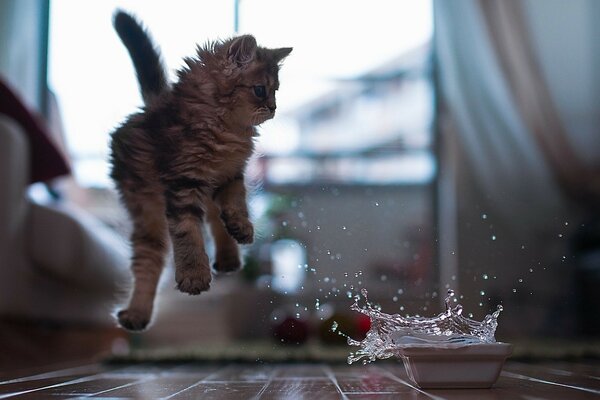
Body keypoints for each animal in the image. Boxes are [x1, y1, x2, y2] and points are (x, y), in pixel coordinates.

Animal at [111, 10, 292, 330]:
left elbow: (236, 204)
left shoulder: (231, 175)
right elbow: (189, 234)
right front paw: (194, 275)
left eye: (276, 92)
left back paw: (230, 257)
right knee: (149, 260)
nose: (273, 108)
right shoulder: (184, 182)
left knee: (214, 221)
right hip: (146, 212)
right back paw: (137, 314)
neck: (225, 128)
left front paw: (242, 227)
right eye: (260, 91)